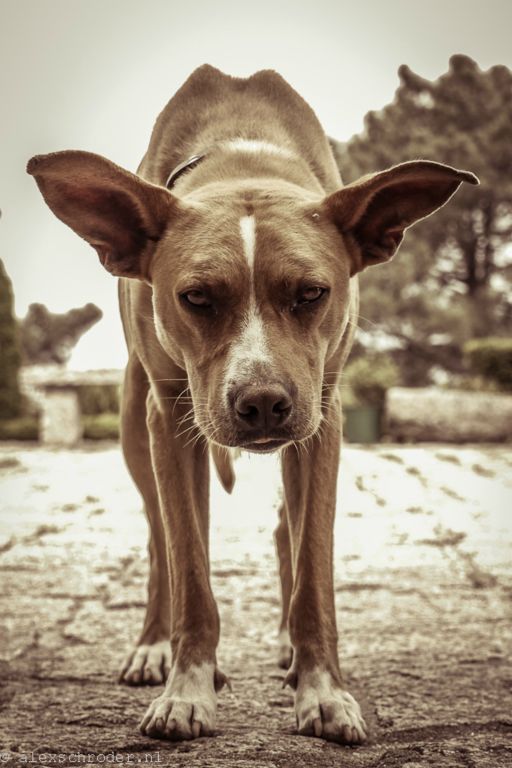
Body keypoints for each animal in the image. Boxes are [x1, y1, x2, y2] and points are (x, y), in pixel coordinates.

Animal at [28, 65, 477, 744]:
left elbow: (313, 568)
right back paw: (155, 645)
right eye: (196, 297)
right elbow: (188, 565)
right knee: (160, 537)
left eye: (312, 292)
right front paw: (187, 687)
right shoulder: (171, 416)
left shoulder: (324, 415)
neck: (242, 161)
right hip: (136, 424)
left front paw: (322, 689)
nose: (262, 403)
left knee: (284, 527)